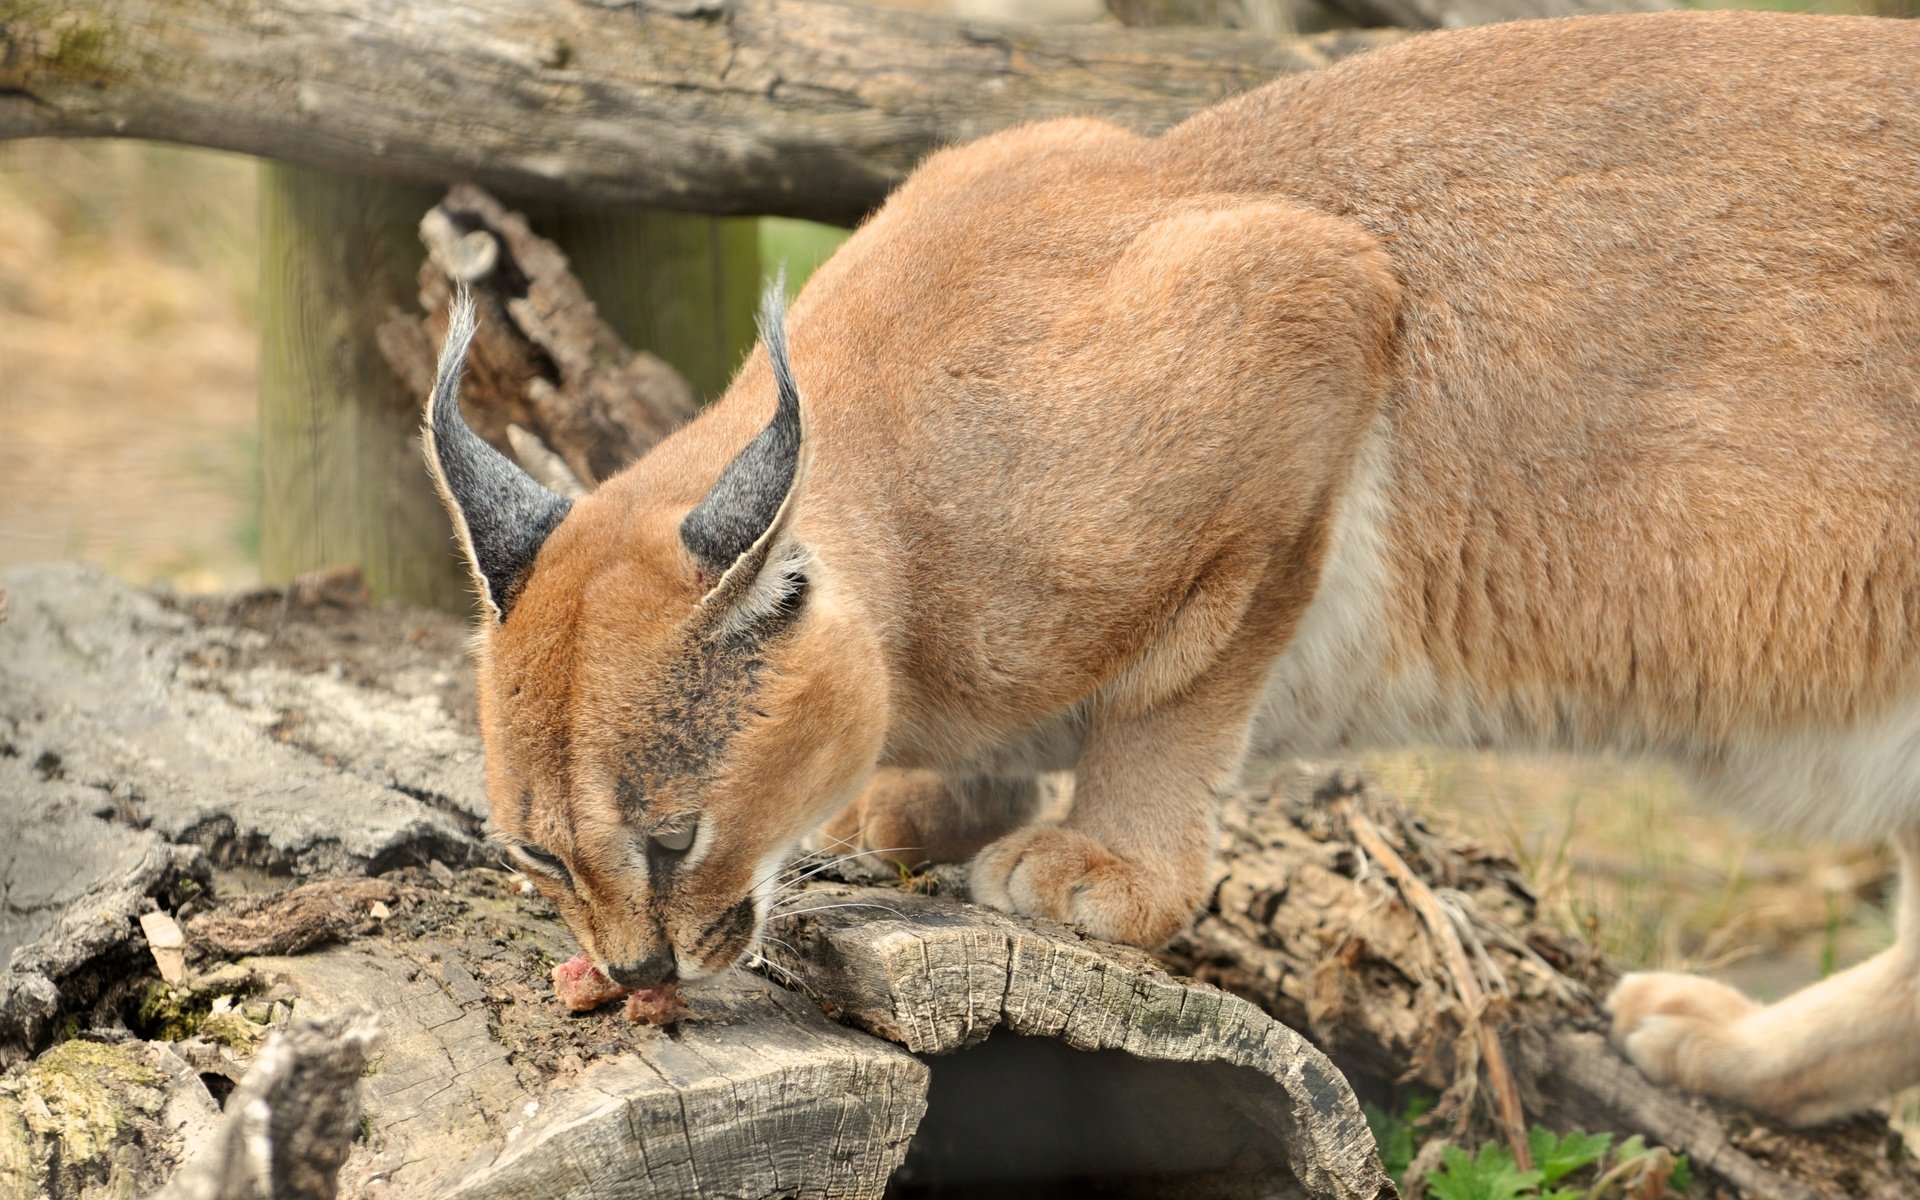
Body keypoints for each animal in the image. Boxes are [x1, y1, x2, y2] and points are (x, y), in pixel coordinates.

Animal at [428, 11, 1920, 1121]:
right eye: (539, 854)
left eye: (674, 838)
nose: (636, 967)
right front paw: (923, 799)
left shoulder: (1310, 309)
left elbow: (1175, 691)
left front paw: (1112, 866)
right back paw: (1742, 1058)